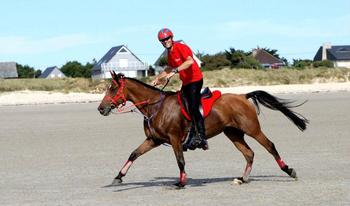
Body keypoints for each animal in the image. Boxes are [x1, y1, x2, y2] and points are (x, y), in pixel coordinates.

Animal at [97, 71, 308, 188]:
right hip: (233, 133)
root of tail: (243, 96)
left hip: (252, 129)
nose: (101, 108)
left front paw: (181, 182)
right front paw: (118, 177)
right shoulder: (154, 140)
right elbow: (134, 154)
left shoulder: (174, 138)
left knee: (270, 146)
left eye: (112, 89)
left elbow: (180, 160)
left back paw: (289, 170)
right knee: (249, 153)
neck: (155, 107)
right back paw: (242, 178)